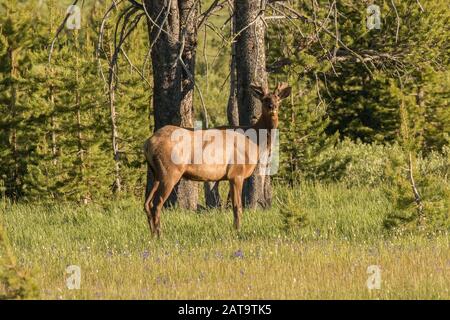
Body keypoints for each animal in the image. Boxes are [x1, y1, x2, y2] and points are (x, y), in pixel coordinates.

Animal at [143, 84, 292, 236]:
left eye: (278, 98)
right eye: (264, 99)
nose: (272, 106)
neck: (254, 142)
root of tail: (148, 143)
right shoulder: (236, 173)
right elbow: (237, 206)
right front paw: (237, 231)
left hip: (157, 173)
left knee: (147, 203)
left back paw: (153, 235)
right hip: (170, 171)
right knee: (157, 204)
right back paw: (160, 235)